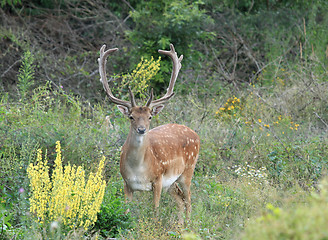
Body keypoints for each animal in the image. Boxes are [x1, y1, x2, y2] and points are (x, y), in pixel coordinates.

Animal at [97, 43, 200, 223]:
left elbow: (155, 211)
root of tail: (196, 135)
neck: (138, 170)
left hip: (188, 170)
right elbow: (125, 212)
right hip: (171, 183)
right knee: (180, 200)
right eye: (131, 116)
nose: (142, 129)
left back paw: (188, 225)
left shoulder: (158, 179)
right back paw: (180, 226)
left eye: (149, 117)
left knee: (188, 200)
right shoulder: (126, 183)